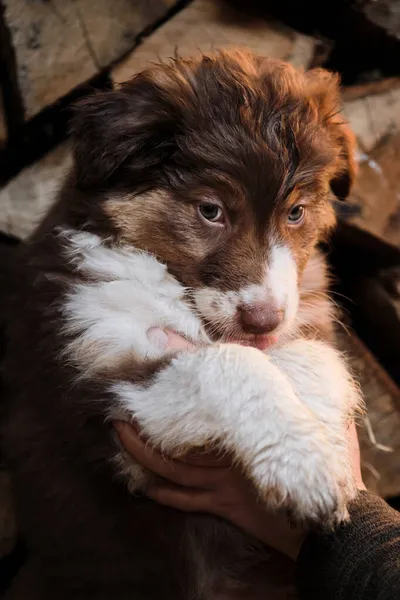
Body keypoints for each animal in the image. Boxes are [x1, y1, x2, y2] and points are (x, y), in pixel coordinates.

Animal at [0, 51, 362, 600]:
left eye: (296, 212)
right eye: (210, 211)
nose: (263, 320)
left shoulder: (304, 315)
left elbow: (311, 356)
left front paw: (329, 451)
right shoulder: (103, 388)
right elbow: (227, 364)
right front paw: (305, 467)